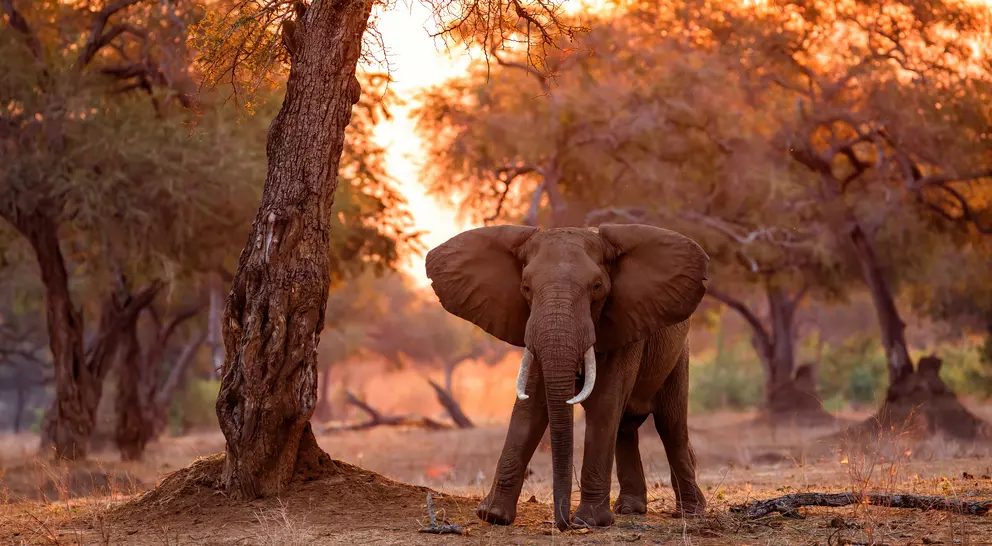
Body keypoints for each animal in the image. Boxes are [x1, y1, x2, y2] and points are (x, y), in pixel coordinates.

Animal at [424, 223, 710, 530]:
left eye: (597, 287)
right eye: (526, 288)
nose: (564, 523)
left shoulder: (625, 323)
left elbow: (604, 404)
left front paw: (591, 521)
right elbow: (530, 407)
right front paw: (493, 516)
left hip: (678, 355)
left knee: (671, 425)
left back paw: (690, 512)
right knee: (625, 429)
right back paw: (630, 510)